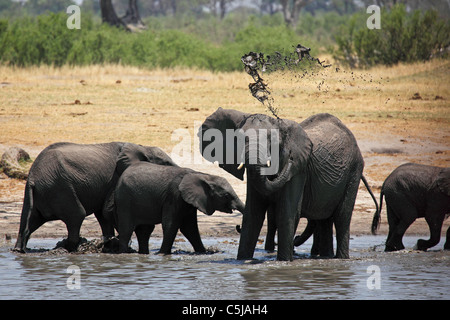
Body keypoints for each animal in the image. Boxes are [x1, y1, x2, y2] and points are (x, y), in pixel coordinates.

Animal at [13, 142, 176, 252]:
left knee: (29, 221)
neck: (142, 147)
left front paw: (110, 244)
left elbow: (103, 215)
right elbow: (107, 210)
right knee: (77, 215)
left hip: (41, 192)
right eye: (166, 163)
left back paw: (19, 250)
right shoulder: (116, 179)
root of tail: (33, 177)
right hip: (59, 186)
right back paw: (73, 248)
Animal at [114, 164, 244, 254]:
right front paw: (162, 254)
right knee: (126, 230)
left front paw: (204, 252)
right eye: (226, 196)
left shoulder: (188, 201)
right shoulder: (174, 196)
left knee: (144, 231)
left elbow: (189, 228)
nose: (238, 226)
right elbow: (171, 224)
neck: (202, 175)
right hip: (125, 201)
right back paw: (124, 253)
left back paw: (144, 254)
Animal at [199, 107, 378, 260]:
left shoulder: (300, 170)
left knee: (342, 216)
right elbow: (253, 214)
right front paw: (242, 260)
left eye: (271, 141)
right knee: (324, 220)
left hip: (354, 170)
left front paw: (284, 262)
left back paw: (341, 259)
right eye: (240, 139)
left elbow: (287, 212)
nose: (290, 158)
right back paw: (326, 257)